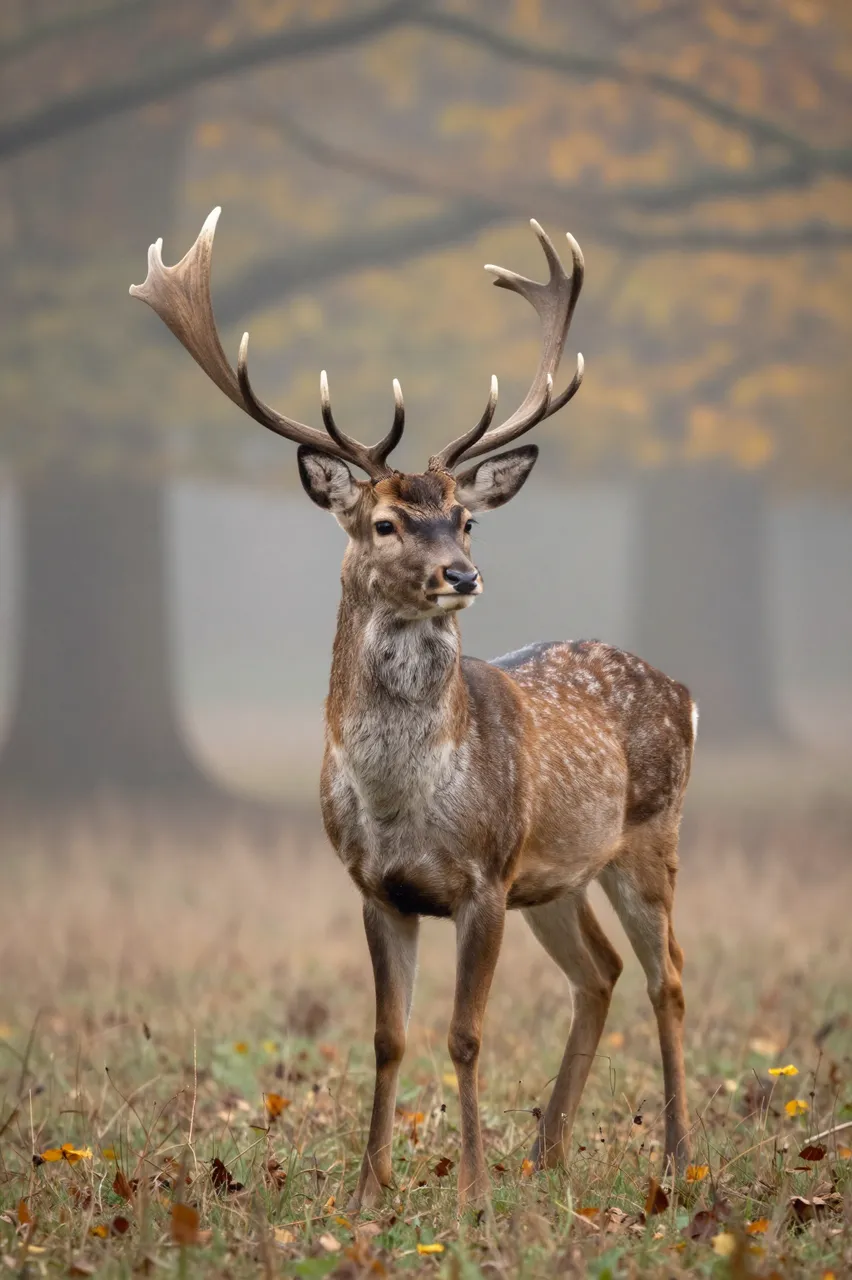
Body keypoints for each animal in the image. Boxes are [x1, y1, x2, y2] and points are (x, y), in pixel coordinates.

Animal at [130, 209, 696, 1210]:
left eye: (466, 519)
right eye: (386, 522)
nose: (462, 574)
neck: (405, 803)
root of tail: (688, 693)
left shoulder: (482, 880)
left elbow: (464, 1036)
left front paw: (468, 1193)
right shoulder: (376, 887)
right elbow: (389, 1036)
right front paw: (368, 1193)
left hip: (646, 838)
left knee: (666, 976)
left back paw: (672, 1160)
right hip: (556, 874)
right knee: (600, 973)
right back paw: (545, 1154)